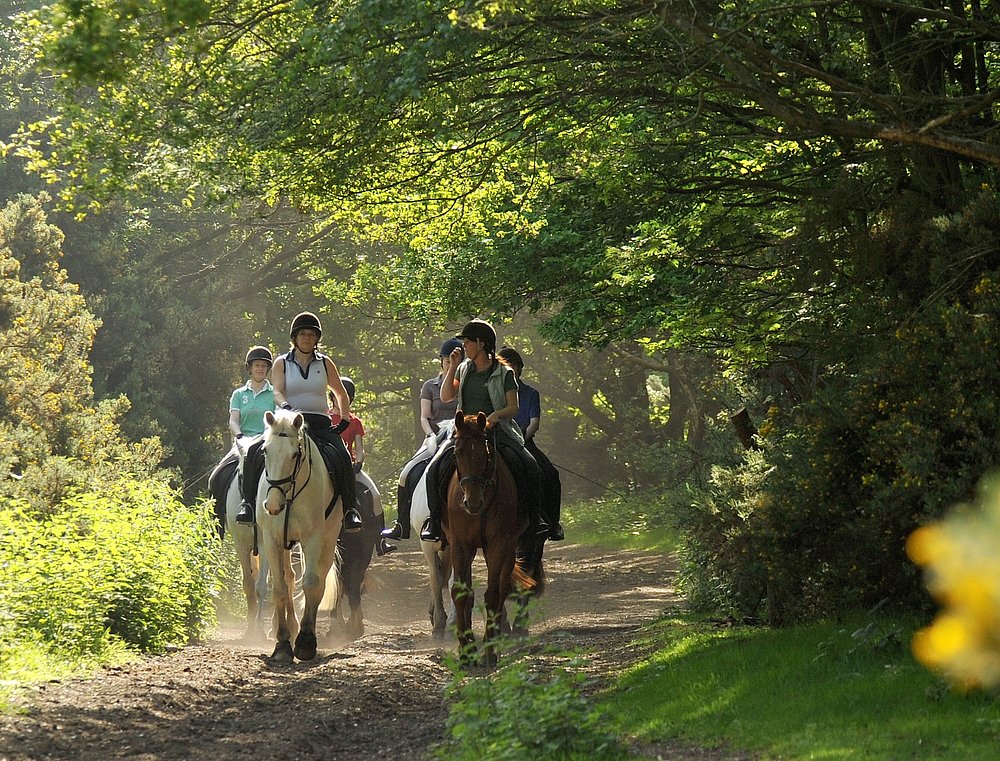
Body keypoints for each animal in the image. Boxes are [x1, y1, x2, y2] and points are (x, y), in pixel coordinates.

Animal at [256, 406, 342, 664]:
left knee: (317, 581)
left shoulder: (313, 539)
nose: (273, 505)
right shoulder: (272, 540)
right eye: (265, 450)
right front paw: (282, 643)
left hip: (328, 539)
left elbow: (311, 583)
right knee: (289, 579)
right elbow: (279, 588)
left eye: (295, 454)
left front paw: (305, 642)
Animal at [442, 410, 536, 664]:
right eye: (457, 452)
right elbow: (460, 593)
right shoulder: (460, 545)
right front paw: (466, 651)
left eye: (485, 454)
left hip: (508, 547)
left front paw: (490, 651)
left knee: (502, 588)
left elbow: (493, 595)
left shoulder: (498, 544)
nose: (472, 503)